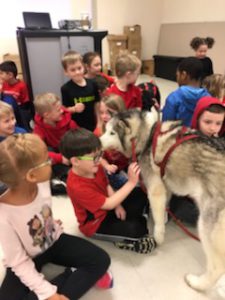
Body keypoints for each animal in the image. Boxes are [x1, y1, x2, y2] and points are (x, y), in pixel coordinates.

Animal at [100, 108, 225, 292]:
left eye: (112, 133)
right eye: (106, 130)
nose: (97, 140)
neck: (146, 136)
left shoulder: (155, 188)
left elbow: (158, 217)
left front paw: (158, 236)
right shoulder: (165, 183)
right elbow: (164, 206)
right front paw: (166, 217)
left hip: (206, 226)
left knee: (217, 267)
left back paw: (197, 283)